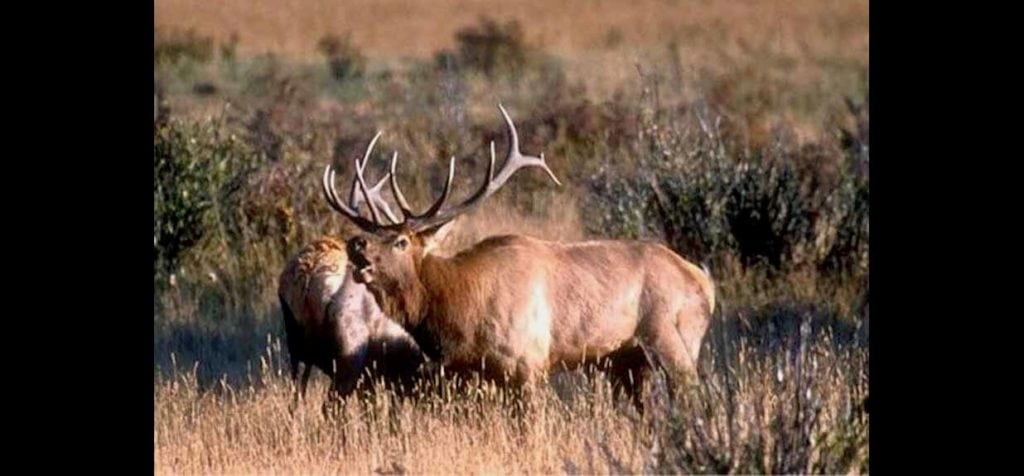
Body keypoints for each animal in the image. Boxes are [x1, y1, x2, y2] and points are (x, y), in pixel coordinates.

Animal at [323, 103, 716, 405]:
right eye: (371, 235)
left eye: (402, 240)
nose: (356, 243)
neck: (460, 311)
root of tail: (704, 281)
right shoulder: (476, 372)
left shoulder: (529, 364)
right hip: (629, 359)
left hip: (674, 336)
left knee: (691, 394)